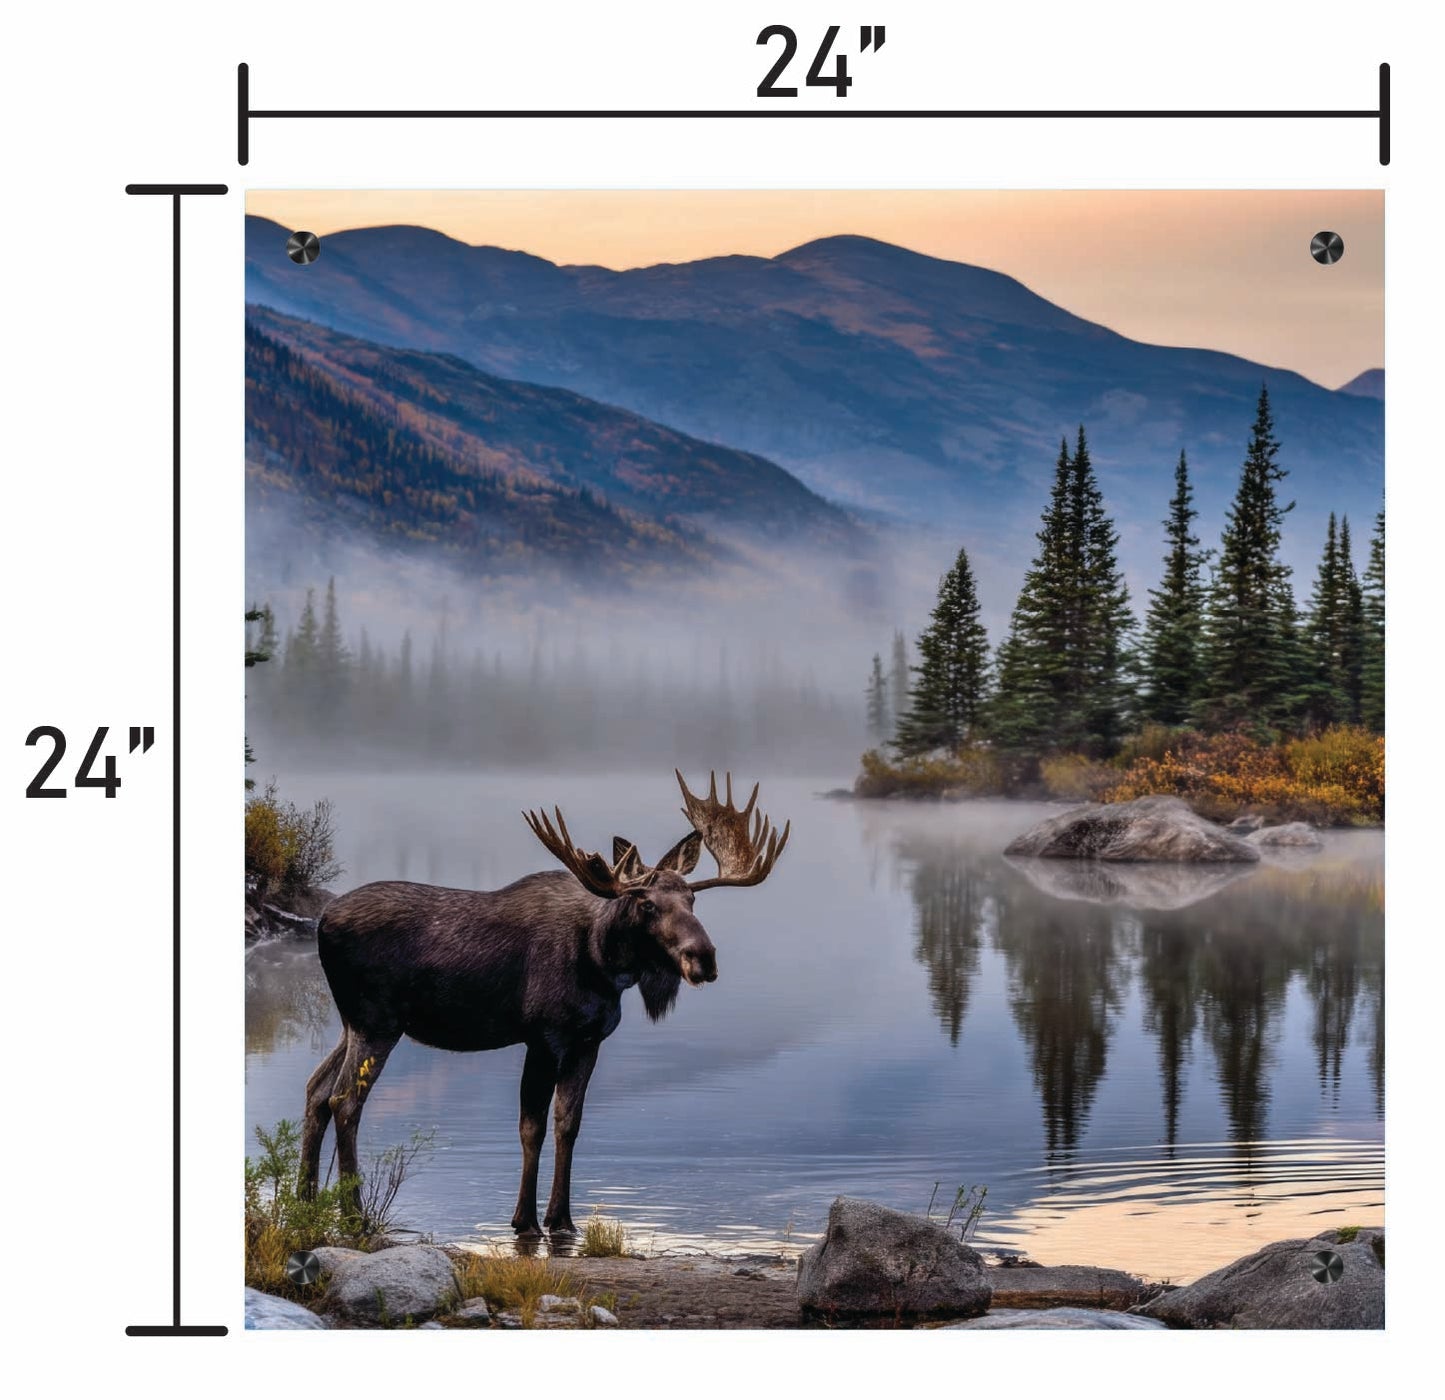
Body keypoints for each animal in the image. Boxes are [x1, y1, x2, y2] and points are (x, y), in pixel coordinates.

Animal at [299, 770, 789, 1237]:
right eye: (646, 904)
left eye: (692, 898)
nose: (702, 957)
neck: (603, 961)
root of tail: (321, 922)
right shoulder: (544, 1036)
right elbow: (531, 1127)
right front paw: (525, 1220)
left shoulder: (588, 1041)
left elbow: (568, 1124)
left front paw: (563, 1219)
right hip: (376, 1022)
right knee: (345, 1100)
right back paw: (353, 1217)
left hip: (354, 1023)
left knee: (316, 1089)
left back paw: (304, 1202)